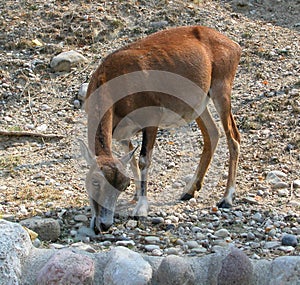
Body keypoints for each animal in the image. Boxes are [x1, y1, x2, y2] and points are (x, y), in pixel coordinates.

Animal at [79, 25, 241, 232]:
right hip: (199, 103)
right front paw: (134, 198)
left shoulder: (151, 119)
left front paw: (141, 209)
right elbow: (132, 160)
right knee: (212, 134)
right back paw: (188, 191)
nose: (104, 224)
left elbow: (143, 160)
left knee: (233, 137)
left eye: (122, 185)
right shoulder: (122, 134)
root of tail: (234, 46)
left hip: (221, 90)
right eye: (95, 181)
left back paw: (226, 198)